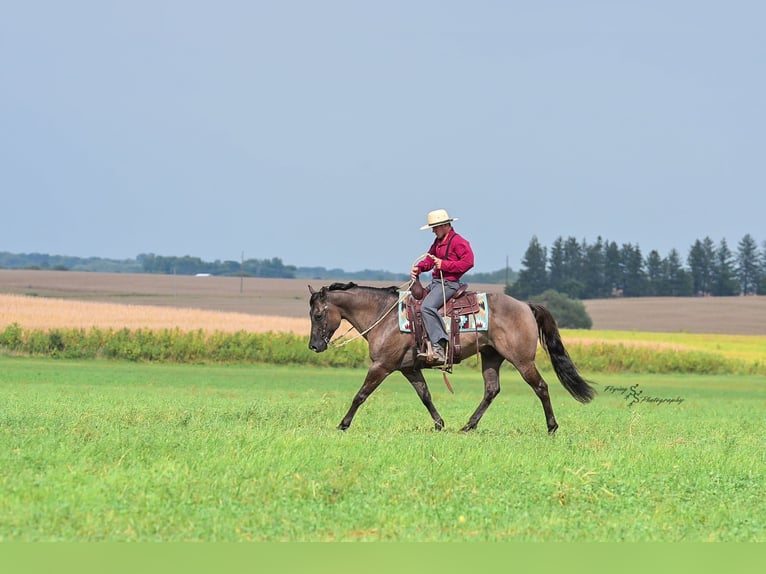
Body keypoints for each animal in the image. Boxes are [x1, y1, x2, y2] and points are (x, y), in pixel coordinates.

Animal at [308, 282, 596, 433]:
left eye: (318, 315)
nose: (313, 345)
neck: (384, 315)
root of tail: (525, 306)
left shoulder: (382, 366)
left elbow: (360, 395)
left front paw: (343, 424)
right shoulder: (409, 368)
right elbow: (425, 396)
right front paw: (439, 424)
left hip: (523, 361)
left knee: (541, 387)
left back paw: (552, 427)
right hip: (491, 357)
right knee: (492, 390)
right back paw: (469, 426)